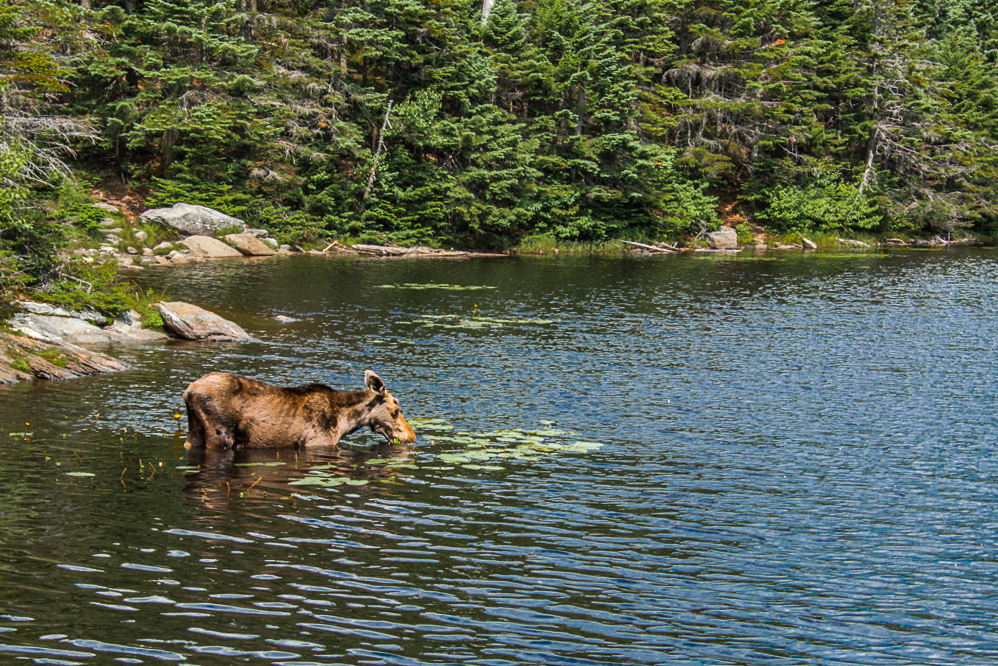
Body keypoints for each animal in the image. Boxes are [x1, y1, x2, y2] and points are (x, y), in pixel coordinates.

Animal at [182, 366, 416, 448]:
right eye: (396, 410)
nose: (411, 437)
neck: (345, 423)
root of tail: (188, 392)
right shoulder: (317, 443)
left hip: (194, 433)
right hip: (220, 435)